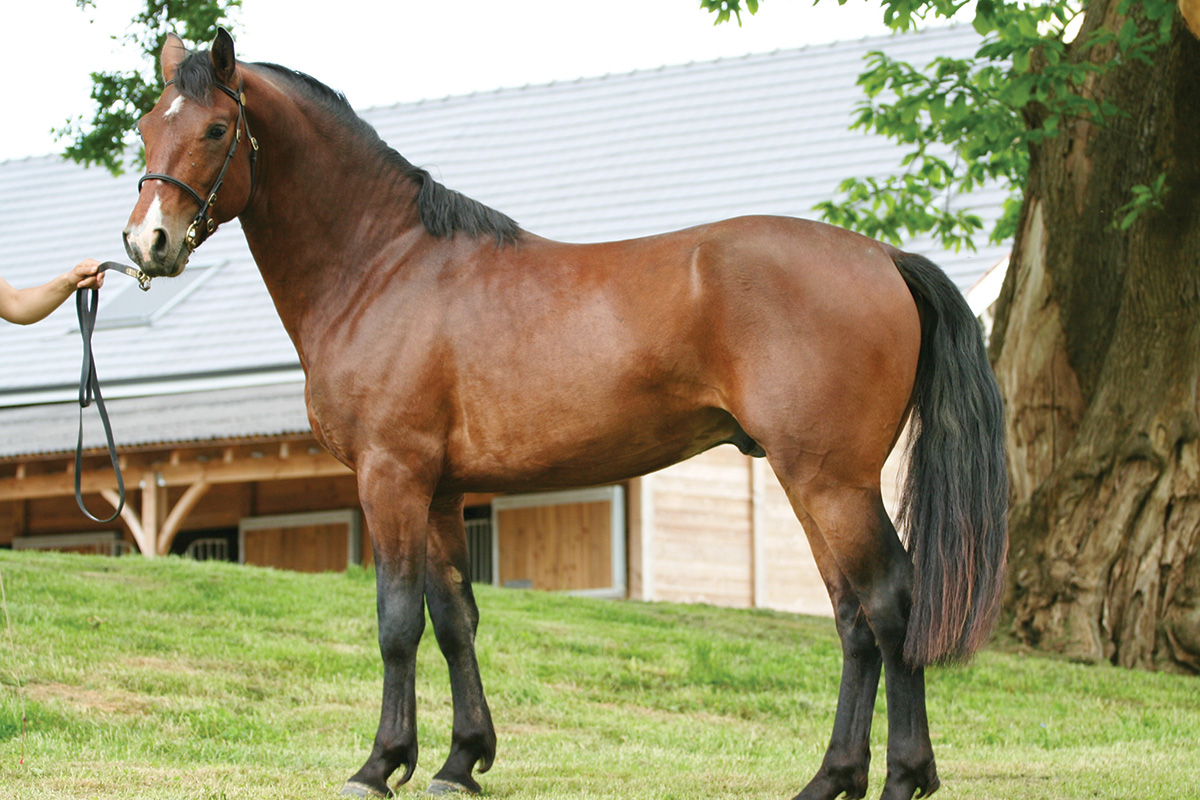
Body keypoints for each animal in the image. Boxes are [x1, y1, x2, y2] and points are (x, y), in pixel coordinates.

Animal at [121, 28, 1008, 800]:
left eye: (216, 127)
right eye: (143, 128)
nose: (146, 244)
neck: (383, 266)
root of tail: (881, 255)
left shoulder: (391, 478)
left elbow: (397, 623)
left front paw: (380, 765)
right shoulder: (443, 491)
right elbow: (455, 619)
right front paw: (461, 761)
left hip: (831, 481)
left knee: (889, 606)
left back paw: (902, 778)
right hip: (811, 485)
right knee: (853, 619)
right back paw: (831, 779)